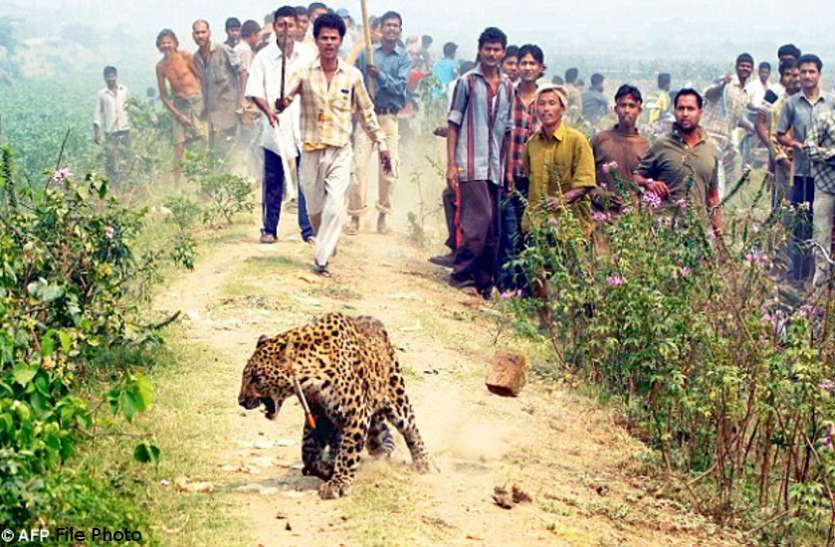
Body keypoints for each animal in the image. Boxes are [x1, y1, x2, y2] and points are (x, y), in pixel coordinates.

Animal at [235, 314, 432, 498]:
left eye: (256, 378)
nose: (241, 401)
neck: (310, 376)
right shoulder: (319, 414)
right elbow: (308, 452)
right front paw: (325, 470)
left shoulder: (356, 413)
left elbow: (348, 451)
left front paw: (338, 483)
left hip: (396, 397)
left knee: (411, 429)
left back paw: (424, 463)